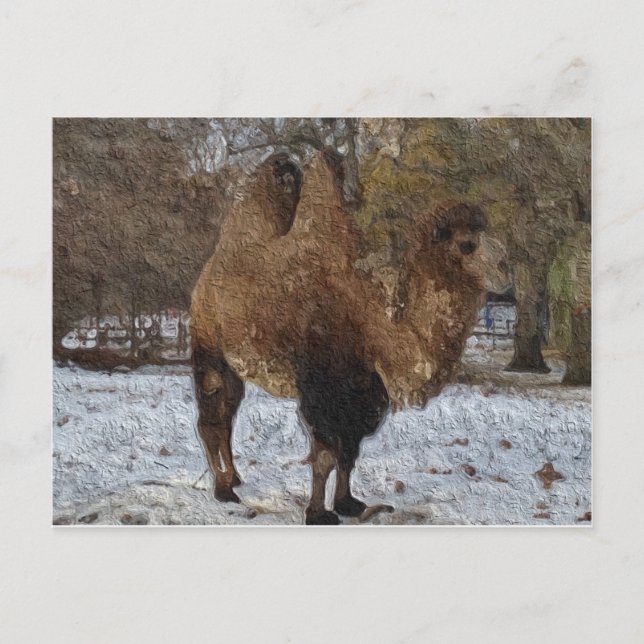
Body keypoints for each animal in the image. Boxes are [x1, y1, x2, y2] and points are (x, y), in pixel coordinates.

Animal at [190, 149, 509, 524]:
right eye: (466, 244)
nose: (505, 267)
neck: (370, 317)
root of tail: (209, 271)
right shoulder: (322, 387)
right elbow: (326, 454)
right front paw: (318, 513)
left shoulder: (365, 389)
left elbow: (350, 452)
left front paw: (348, 504)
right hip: (209, 346)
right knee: (212, 417)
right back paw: (223, 489)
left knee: (228, 414)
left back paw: (236, 479)